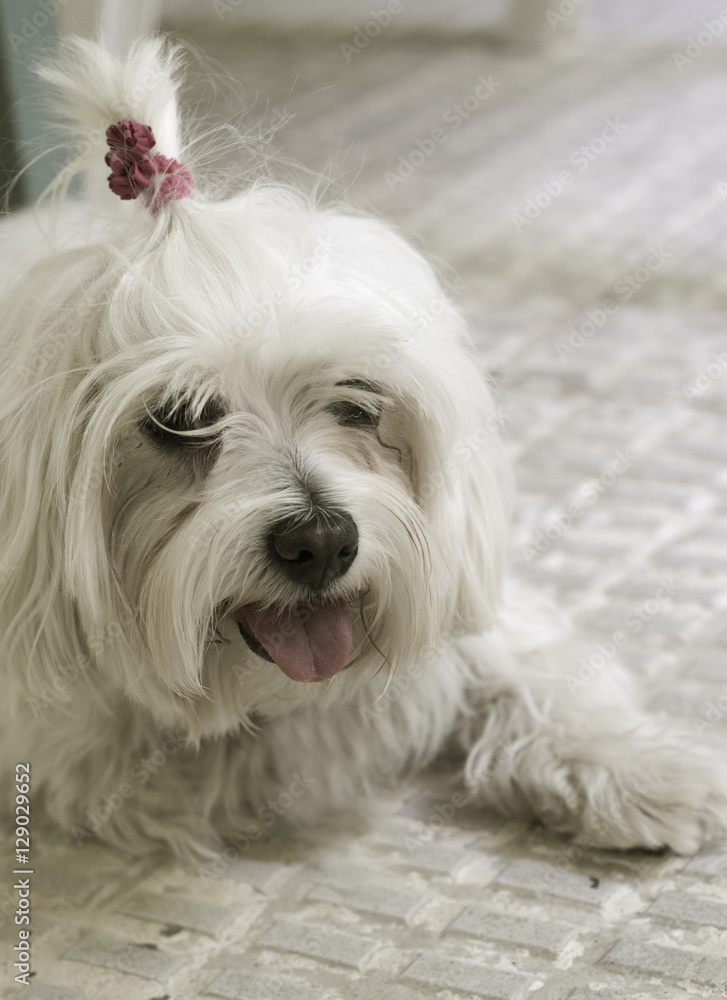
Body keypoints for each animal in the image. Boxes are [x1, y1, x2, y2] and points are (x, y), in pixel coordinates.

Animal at [2, 39, 724, 864]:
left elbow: (521, 667)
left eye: (356, 400)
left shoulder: (461, 580)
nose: (320, 541)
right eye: (178, 419)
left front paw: (634, 769)